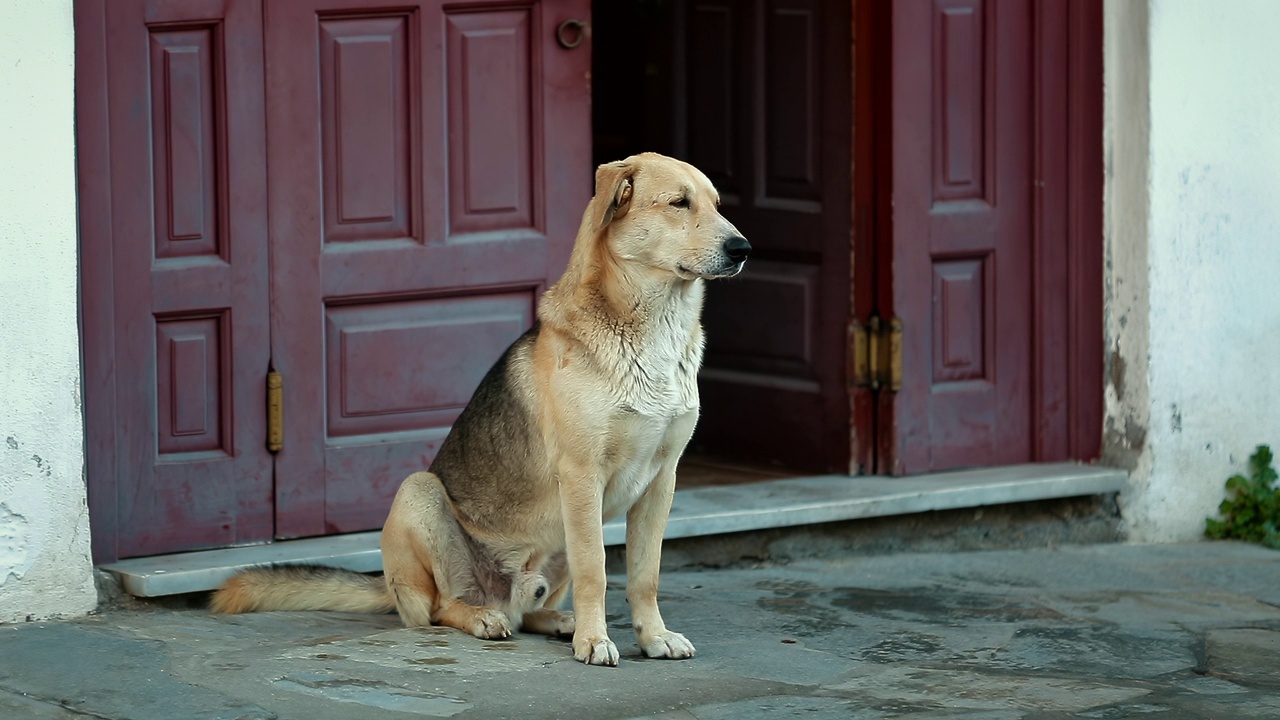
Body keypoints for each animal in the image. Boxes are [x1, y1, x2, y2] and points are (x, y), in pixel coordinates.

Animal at [209, 152, 747, 666]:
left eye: (718, 204)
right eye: (679, 203)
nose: (743, 248)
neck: (654, 329)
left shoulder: (662, 480)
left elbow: (645, 575)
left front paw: (653, 639)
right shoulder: (581, 476)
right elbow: (596, 571)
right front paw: (596, 642)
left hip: (556, 547)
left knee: (530, 611)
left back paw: (559, 620)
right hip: (420, 494)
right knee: (443, 607)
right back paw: (486, 617)